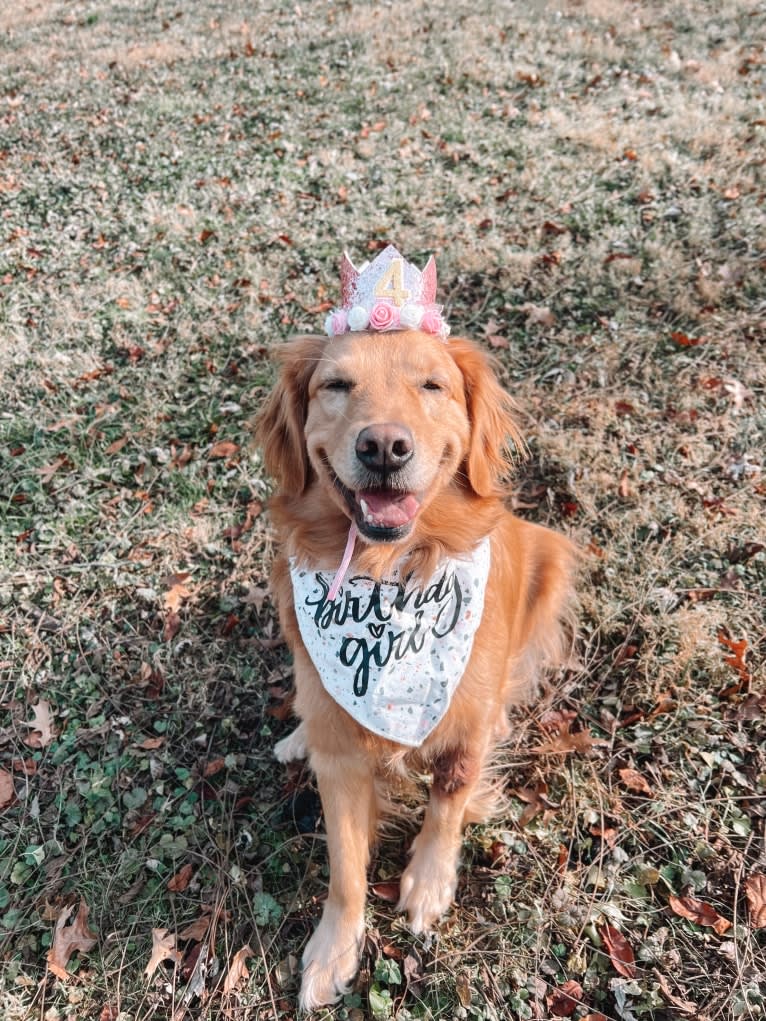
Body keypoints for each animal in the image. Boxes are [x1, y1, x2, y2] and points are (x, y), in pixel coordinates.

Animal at [258, 253, 576, 1004]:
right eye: (336, 386)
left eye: (432, 385)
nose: (383, 446)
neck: (393, 575)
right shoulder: (343, 758)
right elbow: (346, 865)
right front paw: (332, 950)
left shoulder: (458, 726)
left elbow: (449, 802)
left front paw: (429, 883)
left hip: (549, 557)